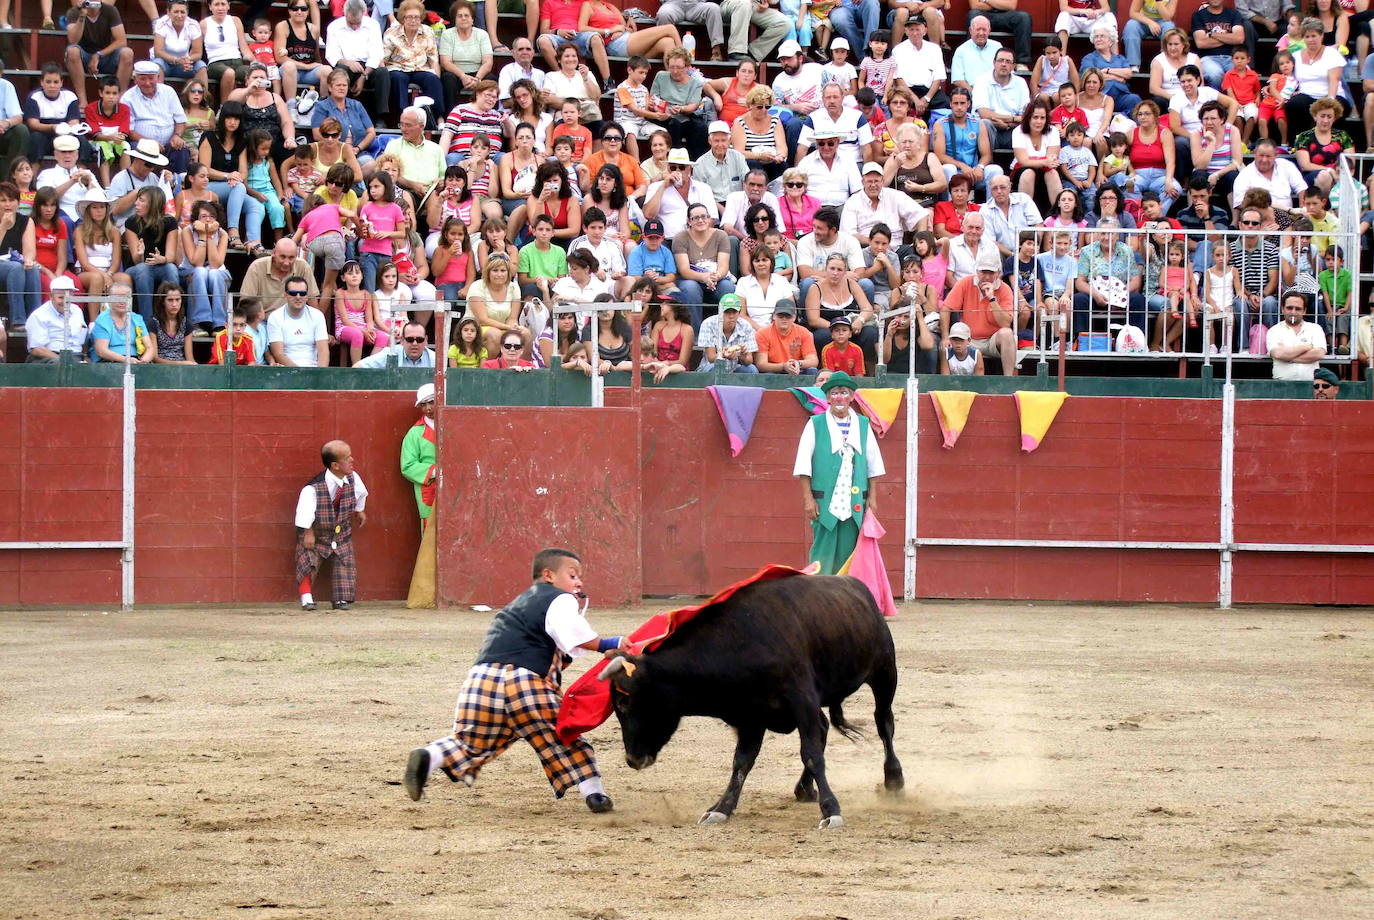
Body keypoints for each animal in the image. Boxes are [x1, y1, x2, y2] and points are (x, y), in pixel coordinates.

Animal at [599, 576, 901, 829]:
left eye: (624, 704)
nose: (632, 759)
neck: (739, 644)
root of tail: (855, 585)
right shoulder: (750, 715)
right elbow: (741, 761)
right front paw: (721, 808)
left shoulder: (801, 700)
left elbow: (812, 754)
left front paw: (831, 811)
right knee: (826, 726)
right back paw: (804, 789)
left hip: (885, 672)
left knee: (883, 722)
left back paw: (894, 779)